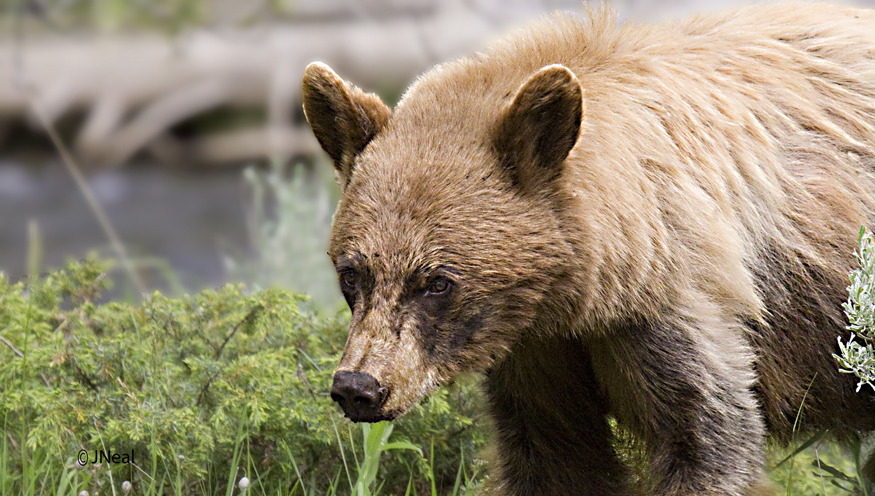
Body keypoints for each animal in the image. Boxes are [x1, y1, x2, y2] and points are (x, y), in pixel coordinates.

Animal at [302, 3, 875, 495]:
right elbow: (556, 454)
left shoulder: (674, 304)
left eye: (437, 281)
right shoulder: (535, 351)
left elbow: (706, 434)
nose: (360, 386)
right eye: (351, 273)